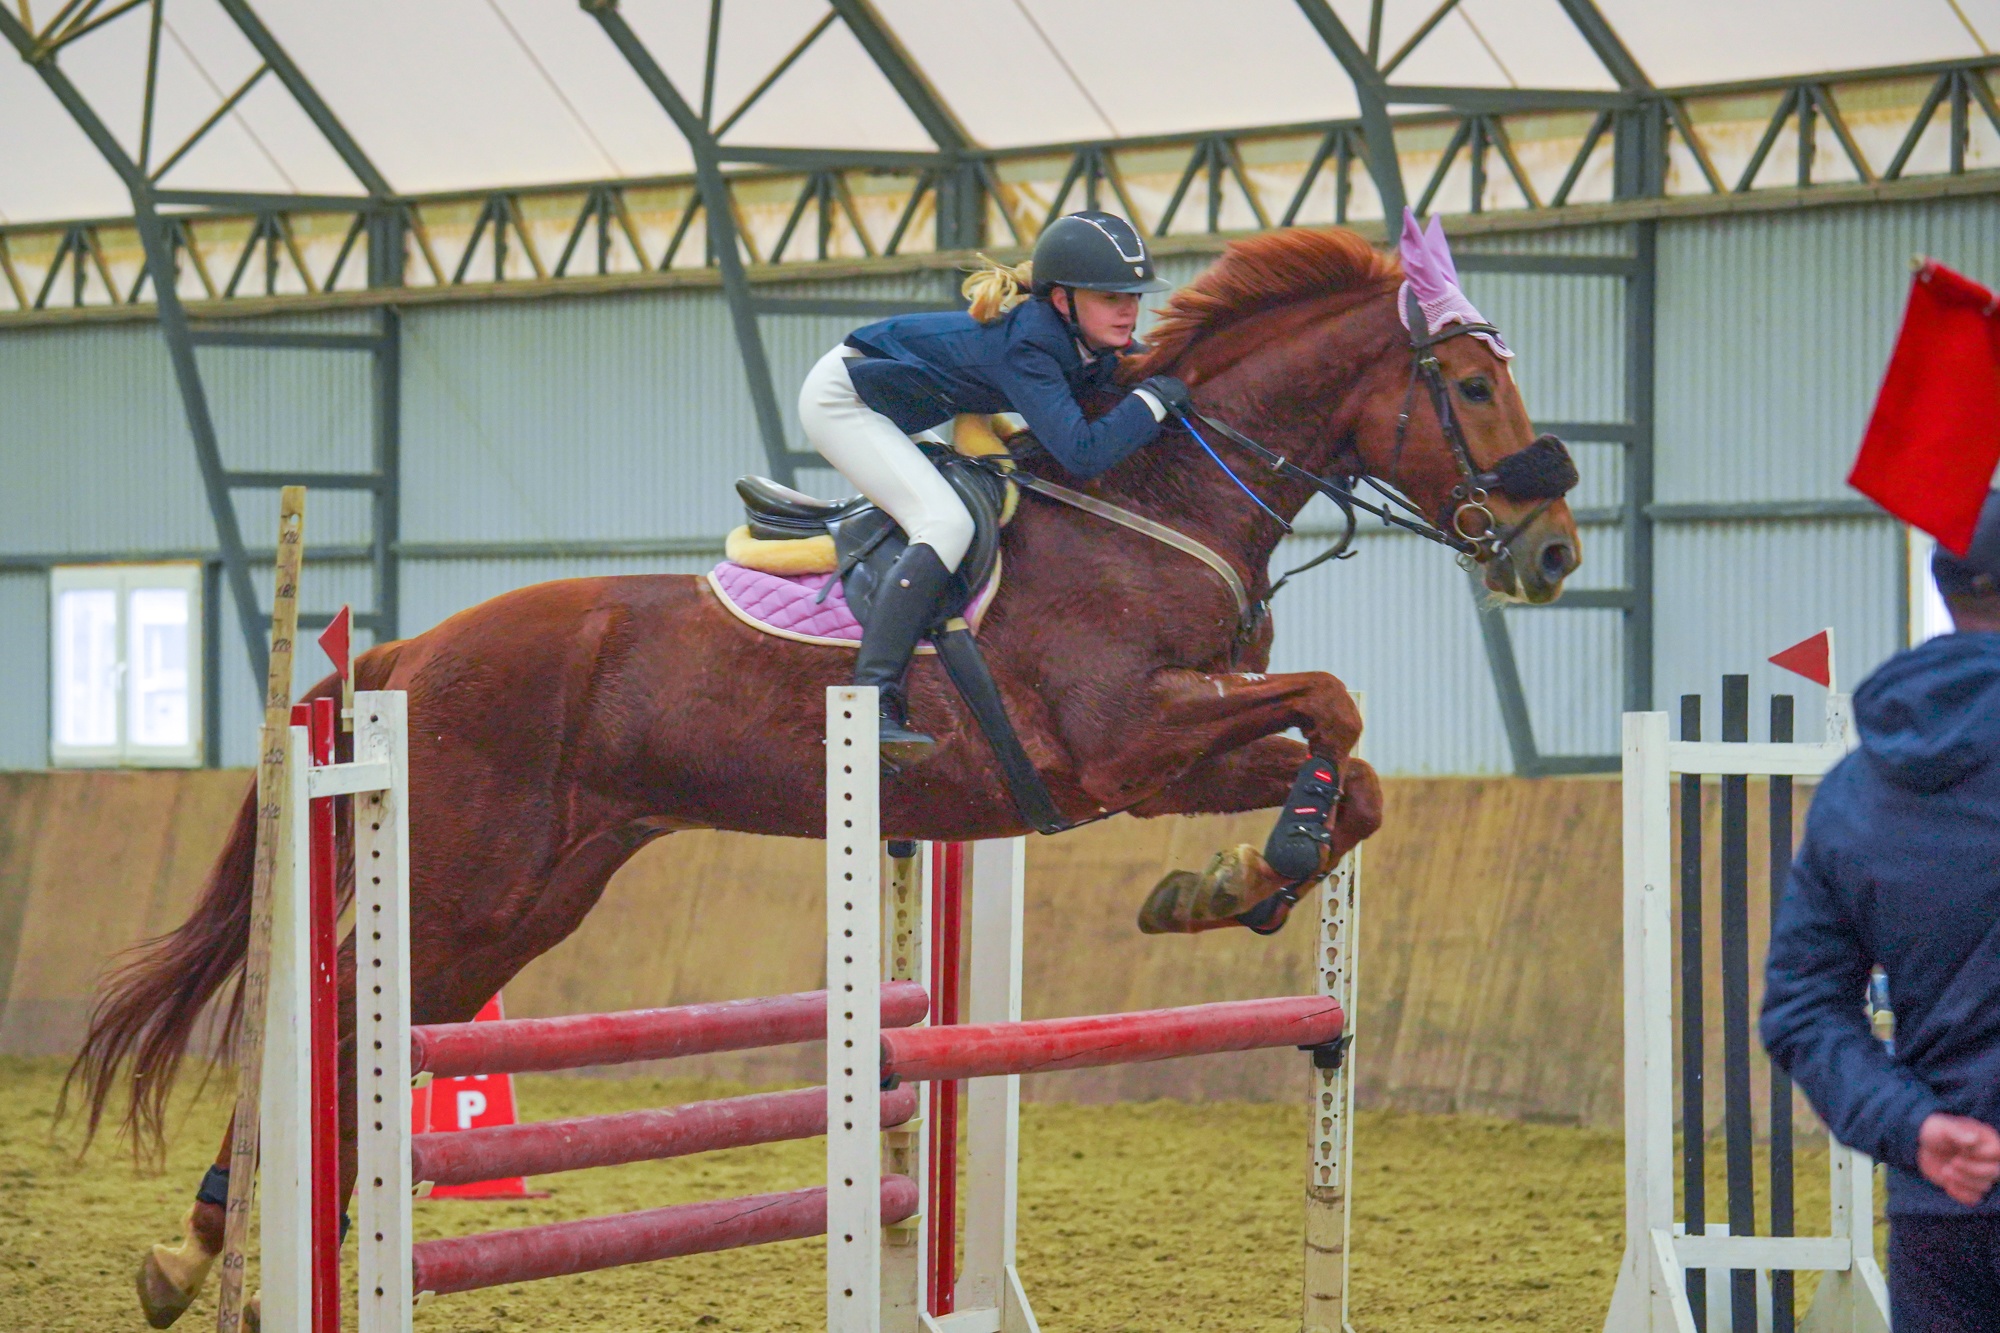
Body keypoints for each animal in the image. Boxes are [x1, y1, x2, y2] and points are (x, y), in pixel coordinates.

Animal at [74, 223, 1576, 1312]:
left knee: (367, 1038)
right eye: (1473, 385)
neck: (1151, 500)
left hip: (528, 896)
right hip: (461, 876)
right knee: (330, 1019)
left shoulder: (1149, 763)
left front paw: (1236, 883)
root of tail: (409, 648)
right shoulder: (1121, 738)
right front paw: (1250, 874)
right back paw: (220, 1251)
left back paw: (230, 1246)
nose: (1552, 552)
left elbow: (1346, 760)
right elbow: (1335, 703)